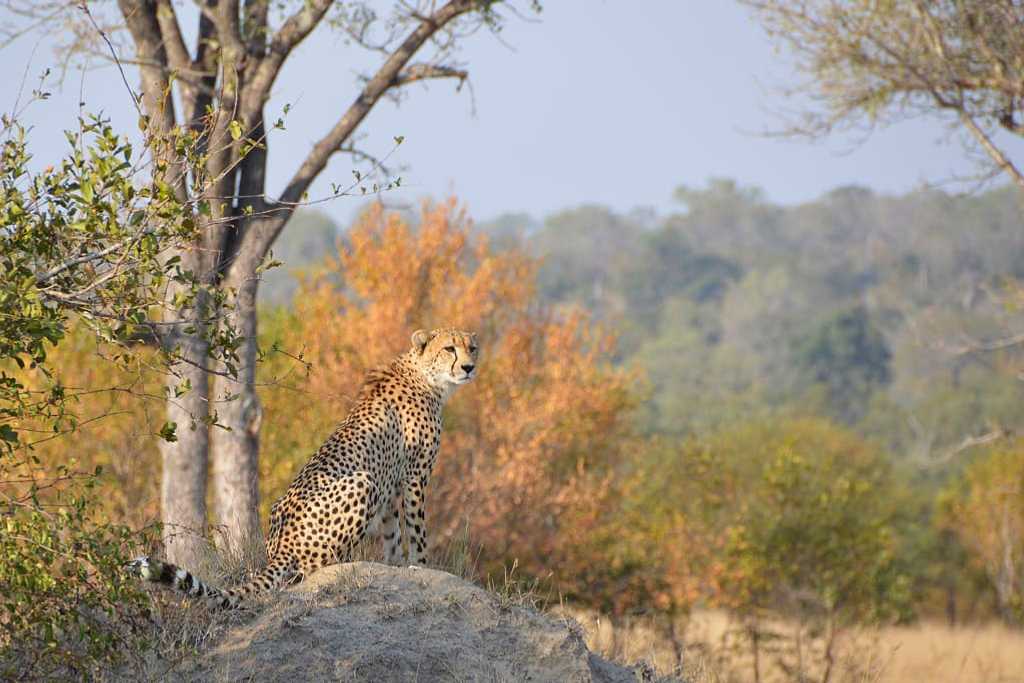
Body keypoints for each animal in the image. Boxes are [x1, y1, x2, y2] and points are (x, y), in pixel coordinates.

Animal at [129, 327, 479, 606]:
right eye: (450, 348)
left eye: (472, 347)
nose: (469, 367)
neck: (426, 376)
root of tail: (278, 547)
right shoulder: (414, 477)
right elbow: (417, 533)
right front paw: (423, 566)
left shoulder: (392, 485)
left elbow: (392, 535)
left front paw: (393, 567)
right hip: (363, 482)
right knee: (309, 571)